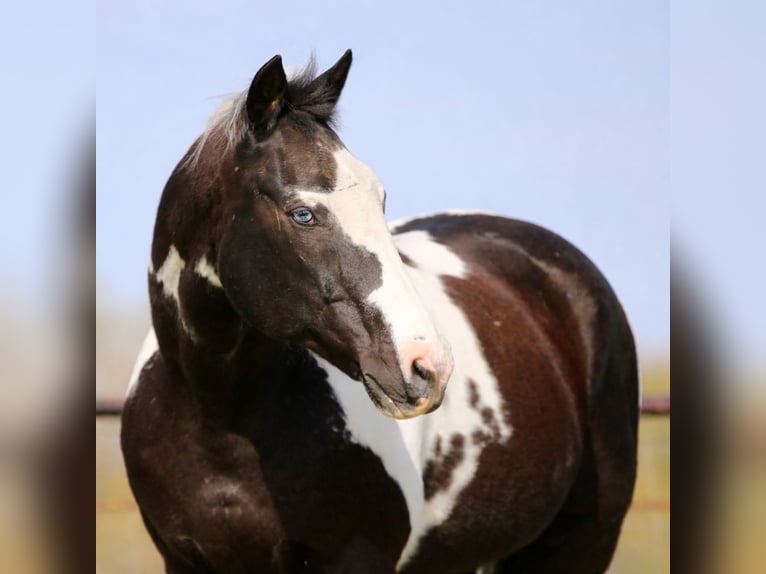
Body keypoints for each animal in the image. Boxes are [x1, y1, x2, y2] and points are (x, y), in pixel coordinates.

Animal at [121, 50, 639, 573]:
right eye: (303, 214)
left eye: (381, 201)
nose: (428, 366)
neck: (221, 420)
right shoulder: (183, 560)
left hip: (581, 542)